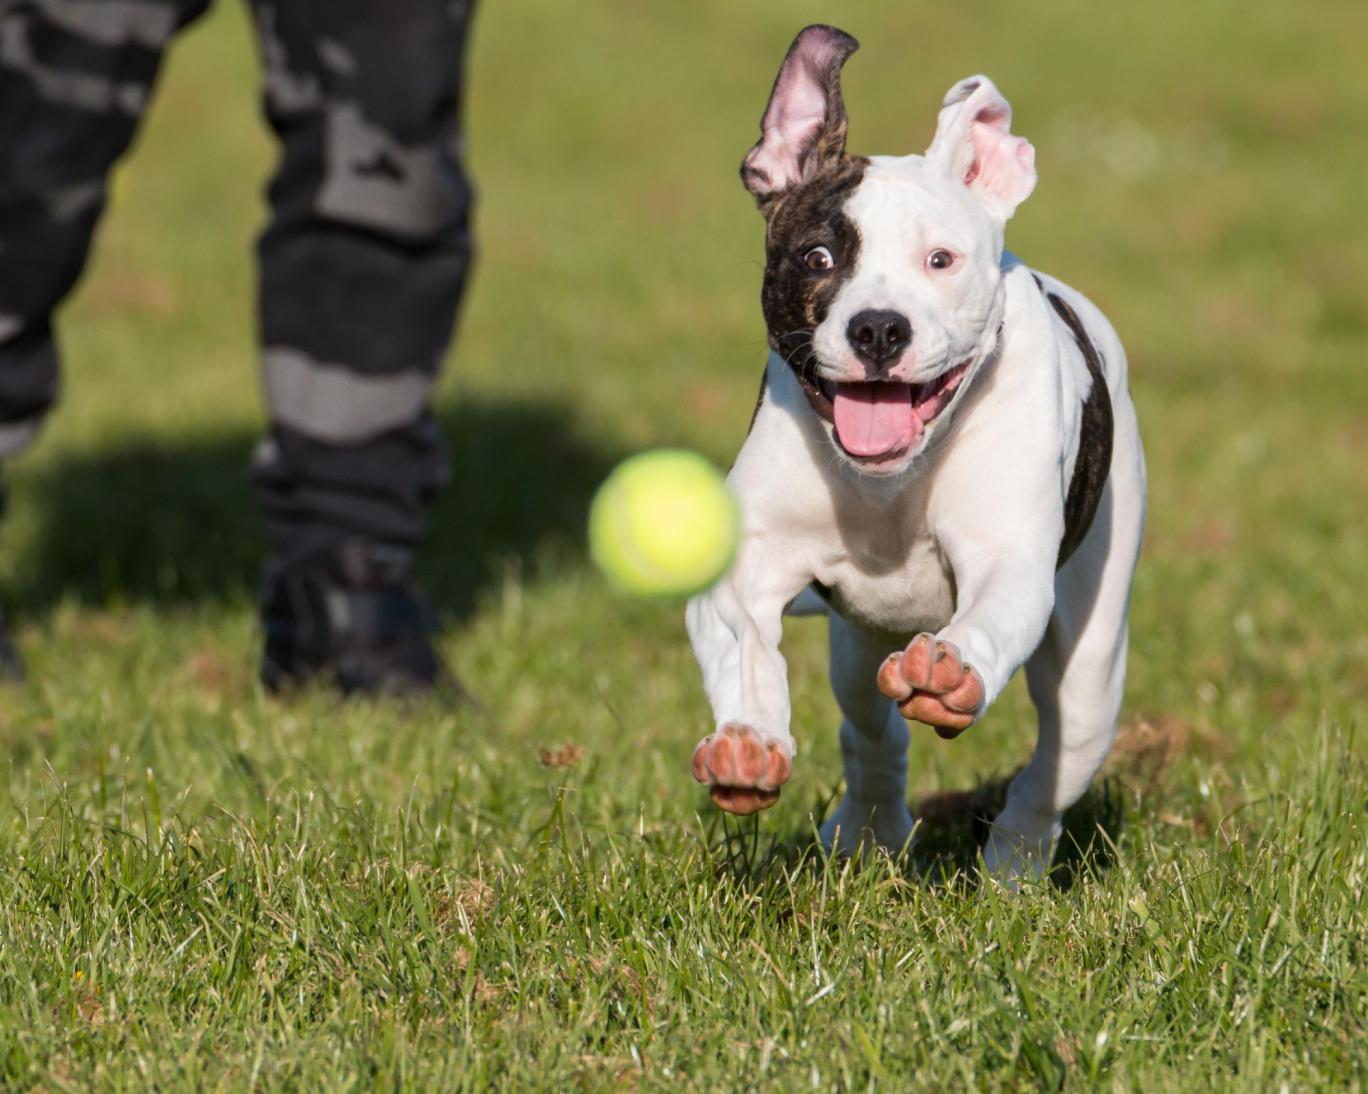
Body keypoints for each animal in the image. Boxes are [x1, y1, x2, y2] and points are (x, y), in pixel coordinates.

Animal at [684, 21, 1143, 886]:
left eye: (941, 260)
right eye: (819, 258)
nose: (877, 328)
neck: (888, 485)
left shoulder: (1008, 560)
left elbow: (991, 612)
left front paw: (951, 670)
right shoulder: (747, 566)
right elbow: (742, 639)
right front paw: (748, 742)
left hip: (1093, 660)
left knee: (1057, 760)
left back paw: (1014, 865)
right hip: (857, 647)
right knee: (871, 732)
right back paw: (868, 830)